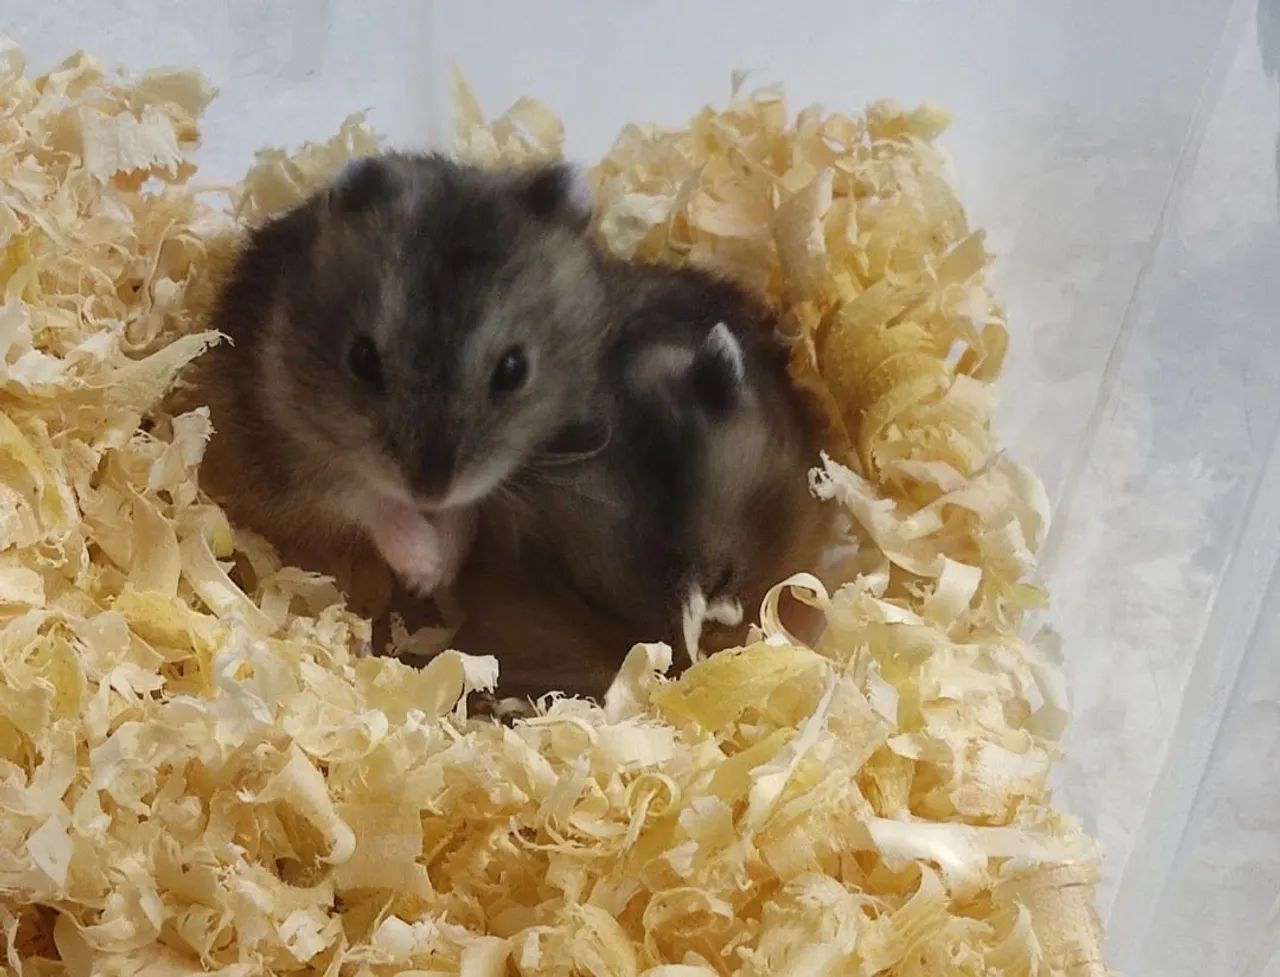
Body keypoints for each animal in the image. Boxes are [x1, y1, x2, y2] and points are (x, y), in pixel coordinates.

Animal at [185, 153, 610, 600]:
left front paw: (442, 565)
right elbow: (368, 500)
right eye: (361, 358)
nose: (429, 494)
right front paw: (426, 569)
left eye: (514, 369)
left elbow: (464, 508)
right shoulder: (285, 458)